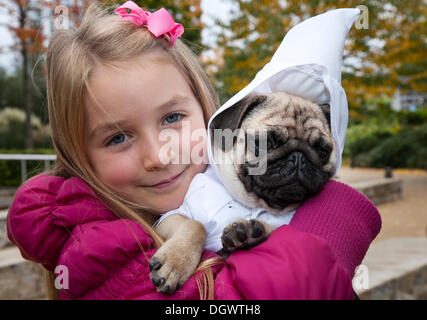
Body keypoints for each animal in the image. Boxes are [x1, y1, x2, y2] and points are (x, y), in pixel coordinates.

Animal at [150, 91, 338, 294]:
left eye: (323, 151)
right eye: (266, 143)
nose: (298, 157)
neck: (253, 202)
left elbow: (275, 229)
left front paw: (250, 233)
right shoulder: (168, 218)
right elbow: (195, 225)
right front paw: (175, 263)